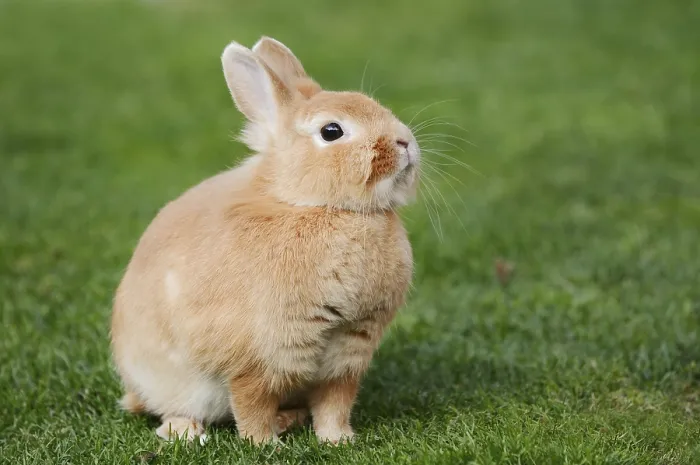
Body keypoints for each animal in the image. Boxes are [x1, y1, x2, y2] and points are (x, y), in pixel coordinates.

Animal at [110, 36, 420, 446]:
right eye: (332, 131)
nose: (405, 143)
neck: (313, 204)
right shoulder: (260, 356)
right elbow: (252, 404)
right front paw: (265, 445)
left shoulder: (348, 352)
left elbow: (334, 404)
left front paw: (338, 439)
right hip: (174, 381)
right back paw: (187, 431)